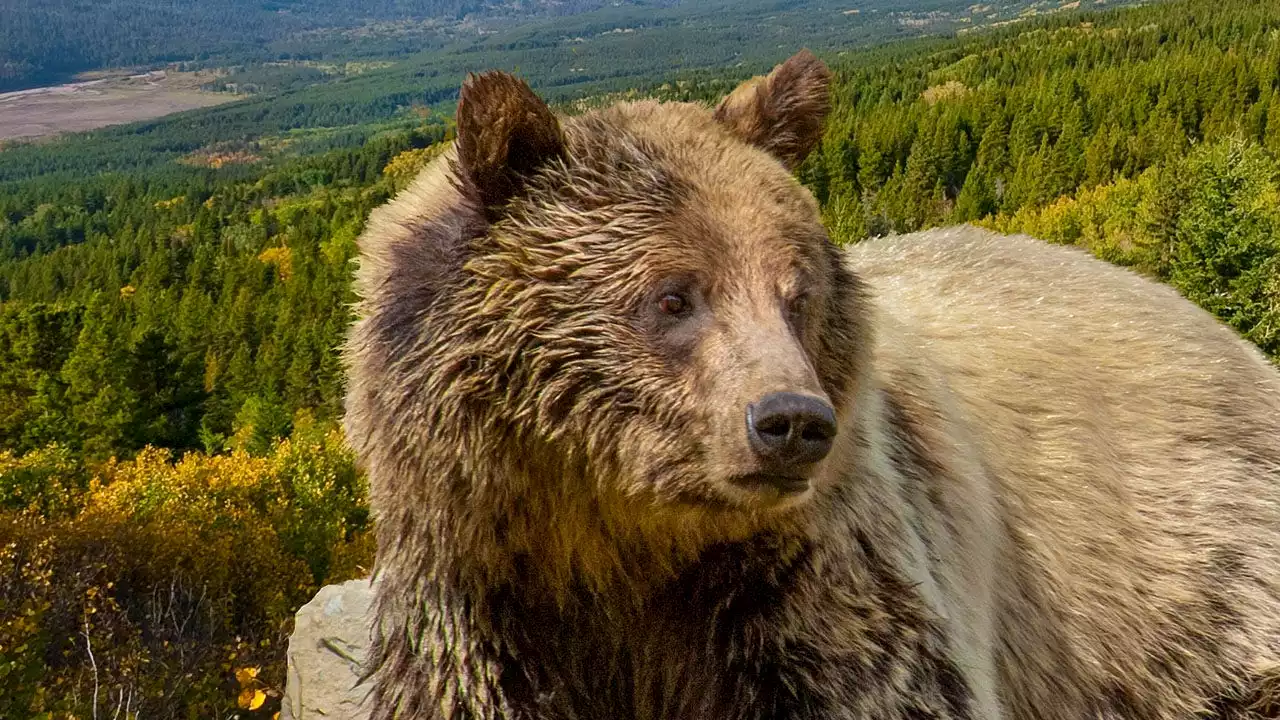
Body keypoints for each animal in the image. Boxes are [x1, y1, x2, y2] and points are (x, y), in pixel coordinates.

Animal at [345, 51, 1280, 717]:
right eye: (673, 296)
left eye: (797, 295)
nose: (791, 422)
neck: (614, 547)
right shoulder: (481, 604)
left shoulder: (812, 587)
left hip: (1194, 570)